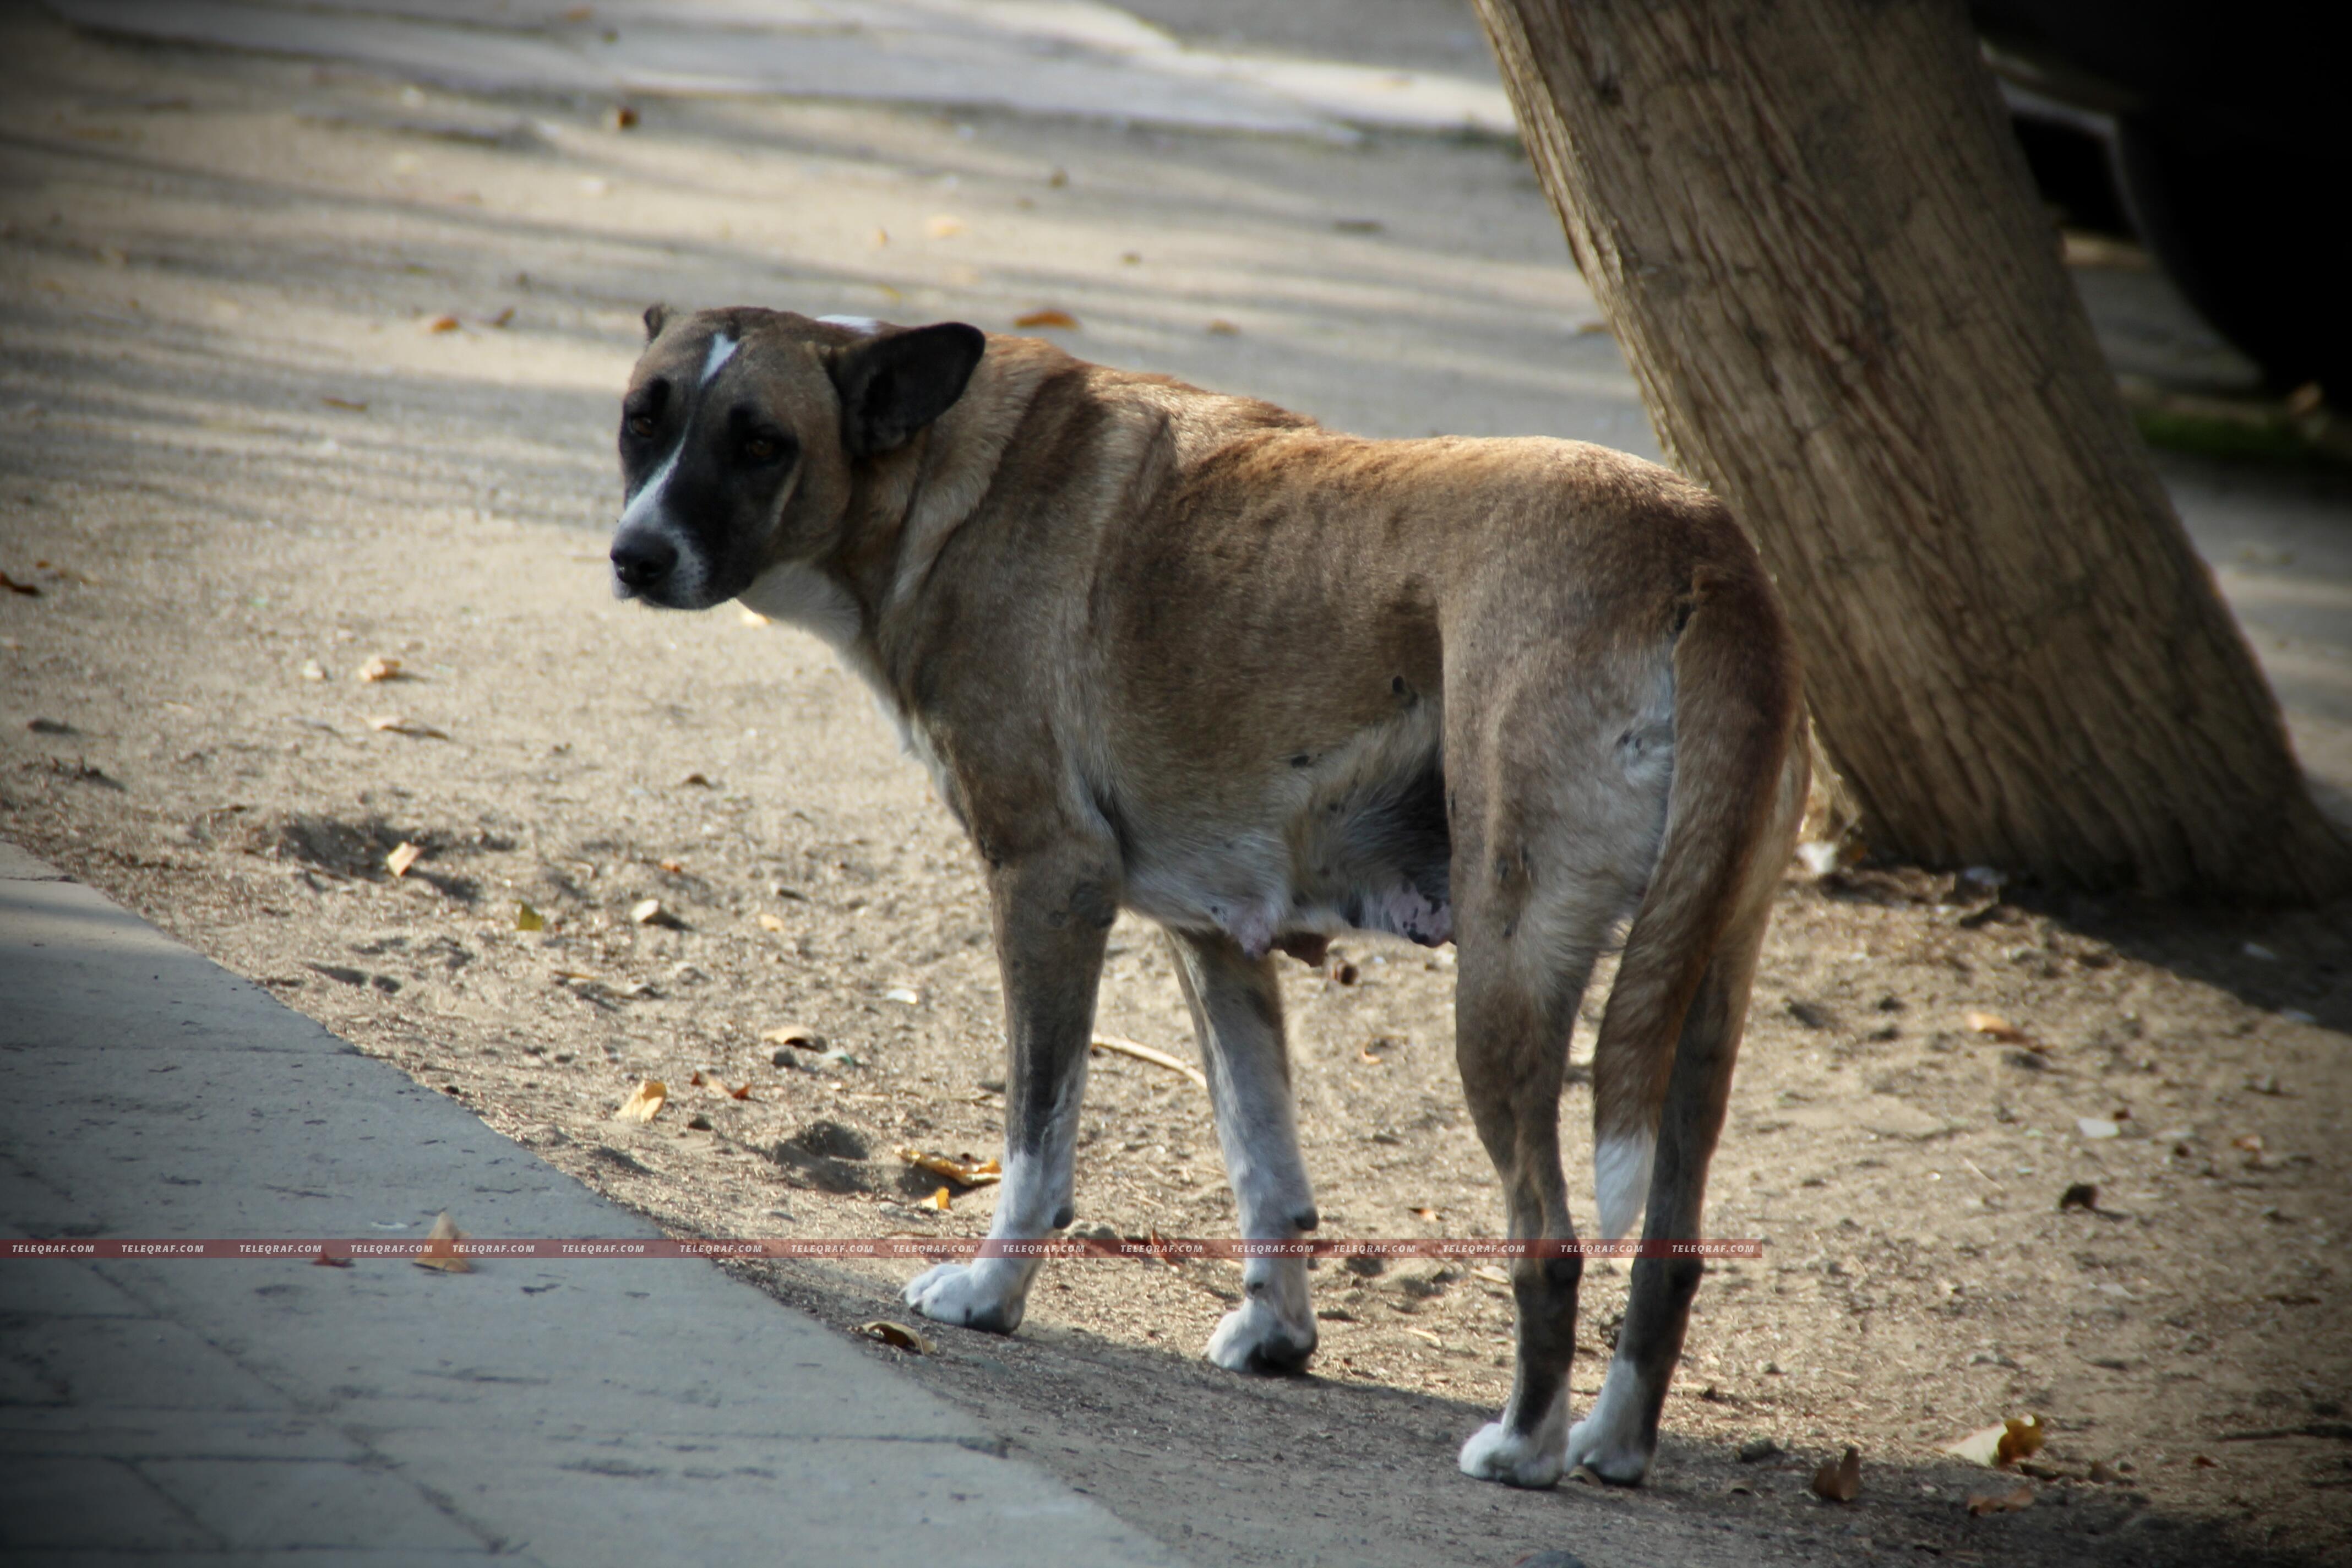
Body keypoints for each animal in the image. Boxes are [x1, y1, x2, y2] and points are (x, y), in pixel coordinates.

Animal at [607, 305, 1807, 1488]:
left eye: (761, 444)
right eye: (642, 419)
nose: (635, 556)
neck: (941, 471)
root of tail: (1703, 550)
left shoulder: (1050, 884)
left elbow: (1038, 1140)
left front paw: (991, 1296)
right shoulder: (1218, 941)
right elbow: (1262, 1165)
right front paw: (1278, 1335)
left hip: (1503, 990)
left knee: (1551, 1242)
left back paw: (1524, 1448)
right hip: (1695, 1006)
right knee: (1669, 1257)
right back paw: (1614, 1443)